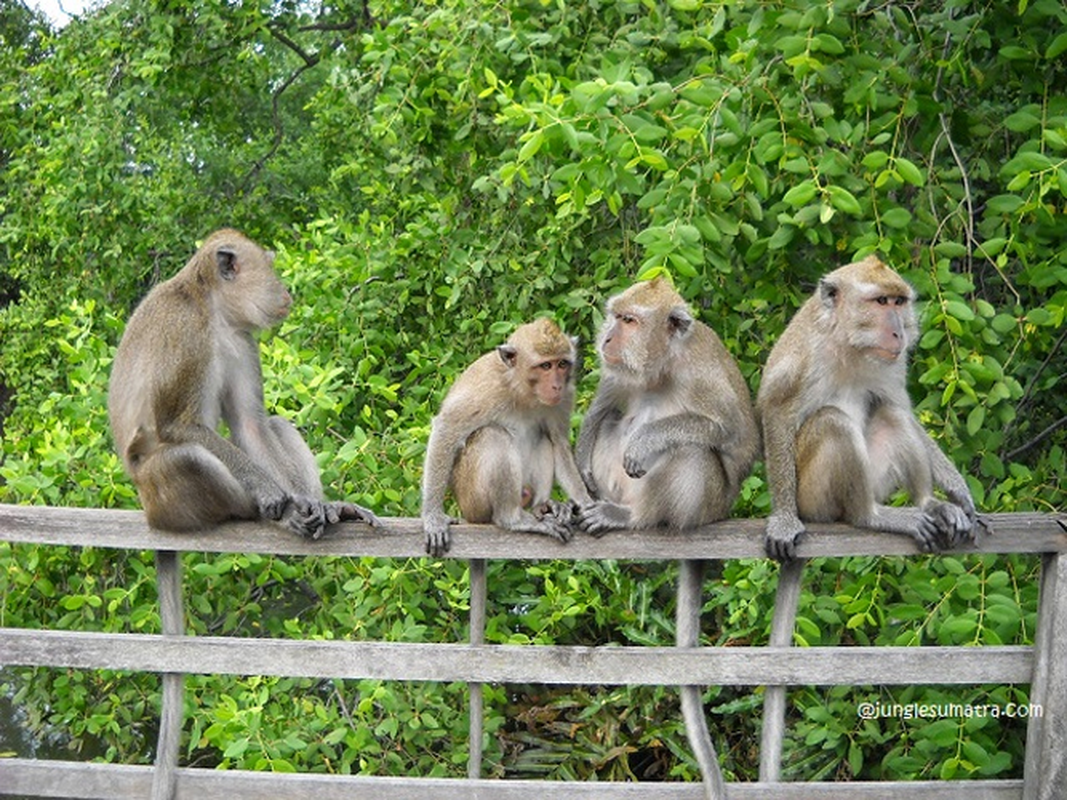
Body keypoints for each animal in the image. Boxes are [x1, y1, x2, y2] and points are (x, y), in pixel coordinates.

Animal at [110, 227, 377, 539]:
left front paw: (306, 499)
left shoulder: (242, 341)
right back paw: (280, 516)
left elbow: (251, 426)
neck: (213, 310)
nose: (285, 291)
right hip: (163, 501)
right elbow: (176, 425)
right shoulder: (186, 331)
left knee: (275, 425)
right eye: (270, 267)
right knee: (189, 458)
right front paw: (269, 490)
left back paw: (326, 506)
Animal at [420, 317, 593, 558]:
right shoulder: (488, 389)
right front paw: (433, 517)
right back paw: (512, 519)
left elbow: (558, 443)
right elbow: (447, 429)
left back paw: (542, 506)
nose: (557, 385)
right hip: (472, 502)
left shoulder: (566, 397)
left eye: (562, 364)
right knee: (494, 435)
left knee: (544, 440)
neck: (523, 391)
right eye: (545, 366)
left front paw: (586, 504)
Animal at [576, 277, 759, 539]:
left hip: (708, 508)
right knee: (609, 420)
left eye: (629, 321)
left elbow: (733, 431)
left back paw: (631, 516)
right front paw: (582, 461)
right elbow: (600, 410)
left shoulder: (699, 373)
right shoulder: (621, 370)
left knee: (692, 451)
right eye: (617, 316)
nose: (607, 339)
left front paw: (645, 439)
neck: (664, 362)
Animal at [759, 257, 981, 563]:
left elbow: (901, 408)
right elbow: (777, 415)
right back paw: (870, 516)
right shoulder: (802, 359)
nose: (899, 331)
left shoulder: (894, 363)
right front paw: (783, 521)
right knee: (832, 421)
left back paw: (930, 504)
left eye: (899, 302)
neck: (849, 344)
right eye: (881, 301)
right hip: (812, 499)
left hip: (875, 479)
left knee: (892, 414)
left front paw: (958, 490)